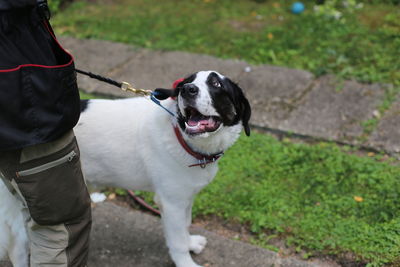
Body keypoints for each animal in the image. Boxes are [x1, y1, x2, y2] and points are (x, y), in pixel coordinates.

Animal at [0, 71, 250, 267]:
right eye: (188, 82)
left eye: (216, 84)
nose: (188, 90)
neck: (181, 136)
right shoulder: (171, 203)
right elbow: (177, 240)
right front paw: (186, 261)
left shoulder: (184, 197)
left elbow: (186, 224)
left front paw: (191, 243)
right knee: (16, 246)